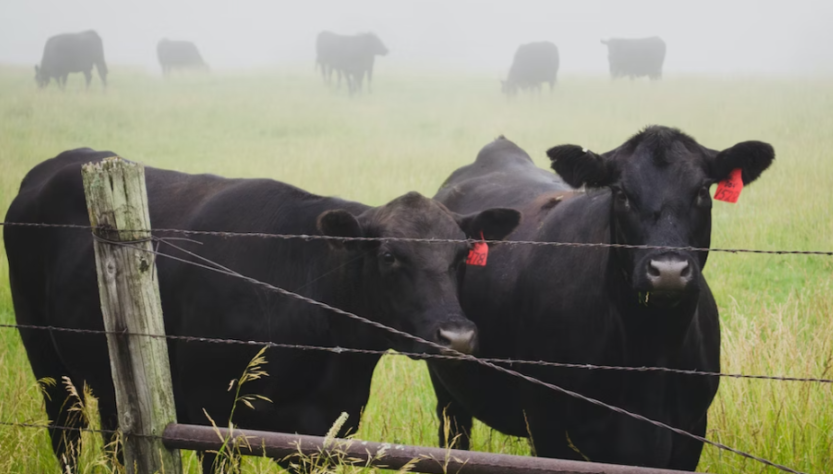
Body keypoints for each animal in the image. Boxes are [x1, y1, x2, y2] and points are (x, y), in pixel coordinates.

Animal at [3, 148, 516, 474]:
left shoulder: (324, 435)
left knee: (114, 438)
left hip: (107, 376)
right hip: (46, 360)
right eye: (390, 256)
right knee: (66, 434)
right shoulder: (211, 421)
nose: (456, 337)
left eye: (461, 255)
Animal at [428, 127, 772, 470]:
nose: (669, 270)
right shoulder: (547, 428)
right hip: (448, 391)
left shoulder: (691, 433)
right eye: (621, 193)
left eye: (701, 190)